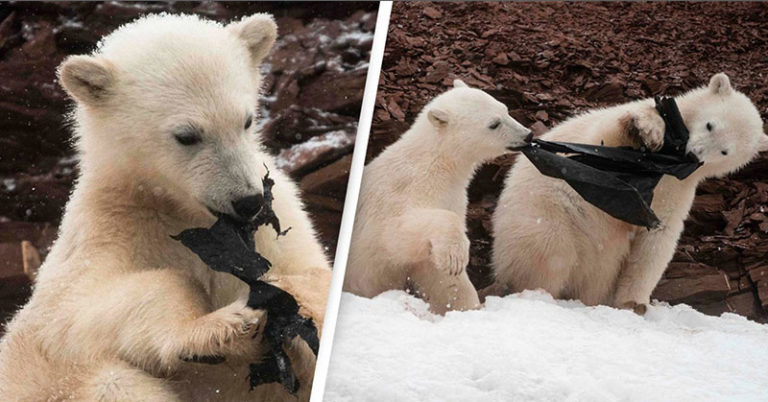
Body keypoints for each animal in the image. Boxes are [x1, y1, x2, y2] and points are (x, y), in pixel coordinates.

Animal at [0, 13, 331, 402]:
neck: (180, 209)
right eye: (187, 135)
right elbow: (74, 310)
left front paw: (285, 296)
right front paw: (222, 326)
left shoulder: (277, 225)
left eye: (246, 121)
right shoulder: (110, 224)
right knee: (113, 382)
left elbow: (313, 275)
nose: (248, 202)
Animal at [343, 80, 533, 315]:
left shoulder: (452, 197)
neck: (435, 165)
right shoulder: (398, 194)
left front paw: (466, 306)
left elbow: (439, 276)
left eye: (505, 109)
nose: (528, 135)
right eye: (494, 124)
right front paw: (455, 258)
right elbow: (395, 234)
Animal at [488, 73, 768, 313]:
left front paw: (634, 303)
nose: (693, 154)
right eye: (710, 125)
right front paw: (647, 128)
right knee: (550, 250)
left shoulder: (679, 188)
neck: (671, 162)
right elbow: (607, 138)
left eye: (725, 151)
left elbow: (657, 237)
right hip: (546, 213)